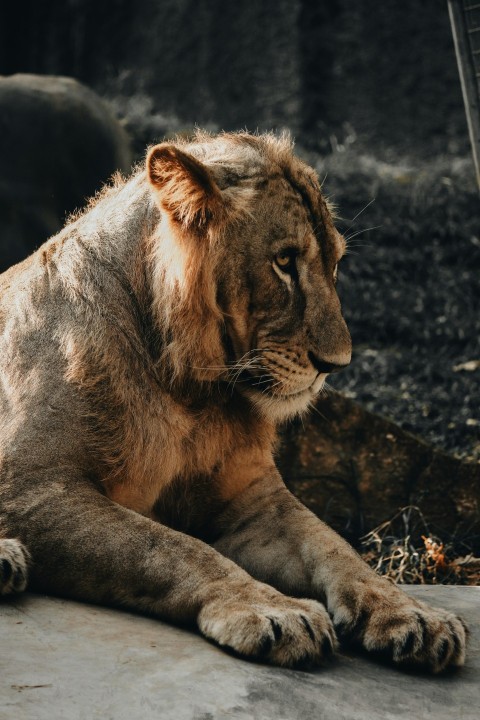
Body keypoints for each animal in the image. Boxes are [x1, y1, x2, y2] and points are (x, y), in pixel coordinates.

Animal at [0, 132, 467, 672]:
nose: (337, 364)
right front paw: (273, 610)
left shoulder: (252, 499)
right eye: (284, 262)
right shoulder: (30, 488)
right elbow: (170, 546)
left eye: (334, 263)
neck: (187, 390)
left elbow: (334, 546)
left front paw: (413, 614)